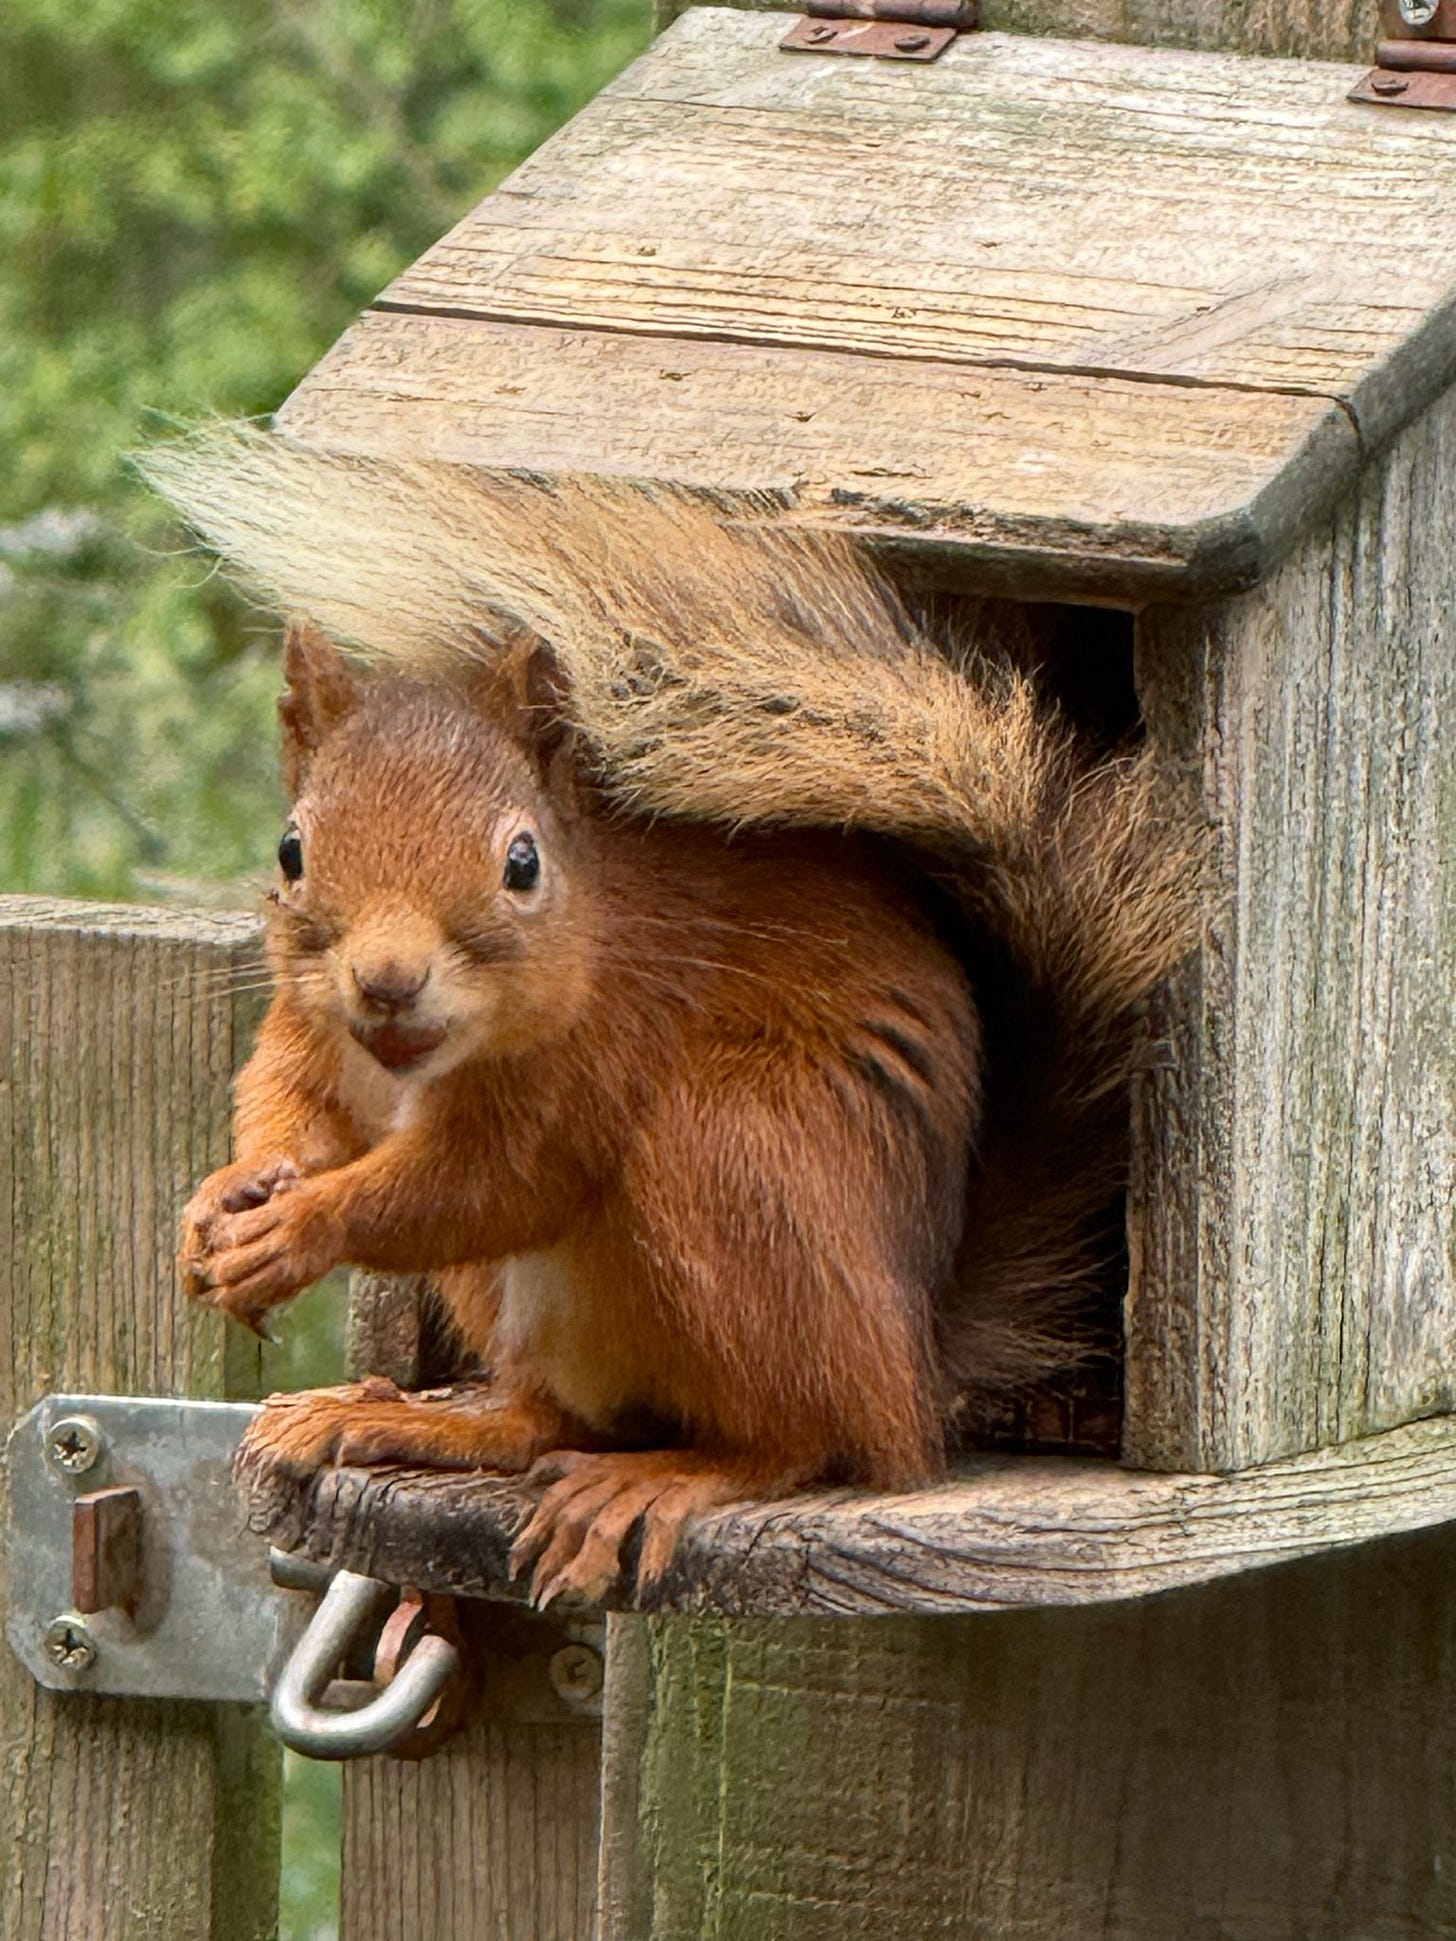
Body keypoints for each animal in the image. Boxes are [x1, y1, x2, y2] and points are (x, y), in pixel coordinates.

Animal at [145, 428, 1198, 1607]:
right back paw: (404, 1416)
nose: (387, 980)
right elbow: (289, 1107)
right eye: (292, 848)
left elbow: (489, 1185)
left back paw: (665, 1477)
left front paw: (302, 1226)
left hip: (730, 1163)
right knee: (543, 1417)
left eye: (523, 863)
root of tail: (916, 1358)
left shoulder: (592, 1057)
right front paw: (226, 1201)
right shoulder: (312, 1031)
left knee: (808, 1437)